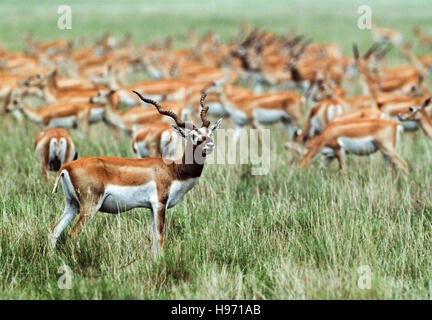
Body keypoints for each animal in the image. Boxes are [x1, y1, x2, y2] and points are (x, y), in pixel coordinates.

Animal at [49, 90, 223, 255]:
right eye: (193, 136)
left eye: (210, 133)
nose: (210, 146)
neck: (173, 170)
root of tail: (67, 167)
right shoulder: (159, 204)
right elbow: (160, 236)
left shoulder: (152, 208)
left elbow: (154, 237)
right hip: (90, 205)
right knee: (73, 234)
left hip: (72, 205)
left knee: (54, 231)